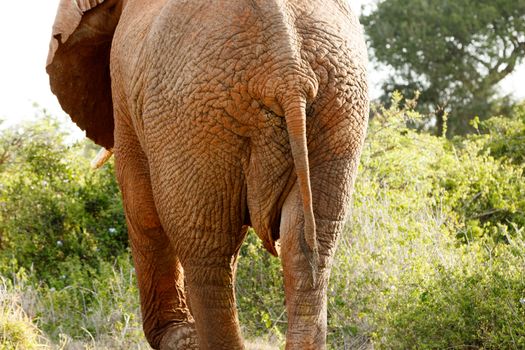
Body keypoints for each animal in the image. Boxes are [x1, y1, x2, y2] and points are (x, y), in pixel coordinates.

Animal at [46, 0, 368, 348]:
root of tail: (289, 72)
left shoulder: (123, 83)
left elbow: (141, 204)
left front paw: (174, 334)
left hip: (194, 113)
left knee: (207, 252)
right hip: (338, 105)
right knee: (307, 247)